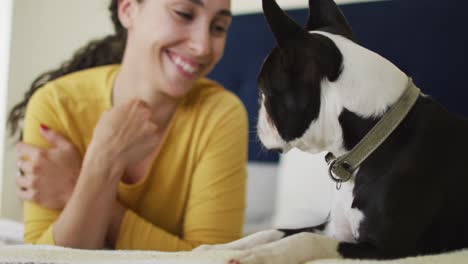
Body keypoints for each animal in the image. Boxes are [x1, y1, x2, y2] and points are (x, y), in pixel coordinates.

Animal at [193, 0, 468, 262]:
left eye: (264, 93)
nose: (257, 118)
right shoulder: (331, 228)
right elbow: (273, 231)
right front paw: (214, 248)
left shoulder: (388, 247)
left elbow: (303, 239)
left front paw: (257, 256)